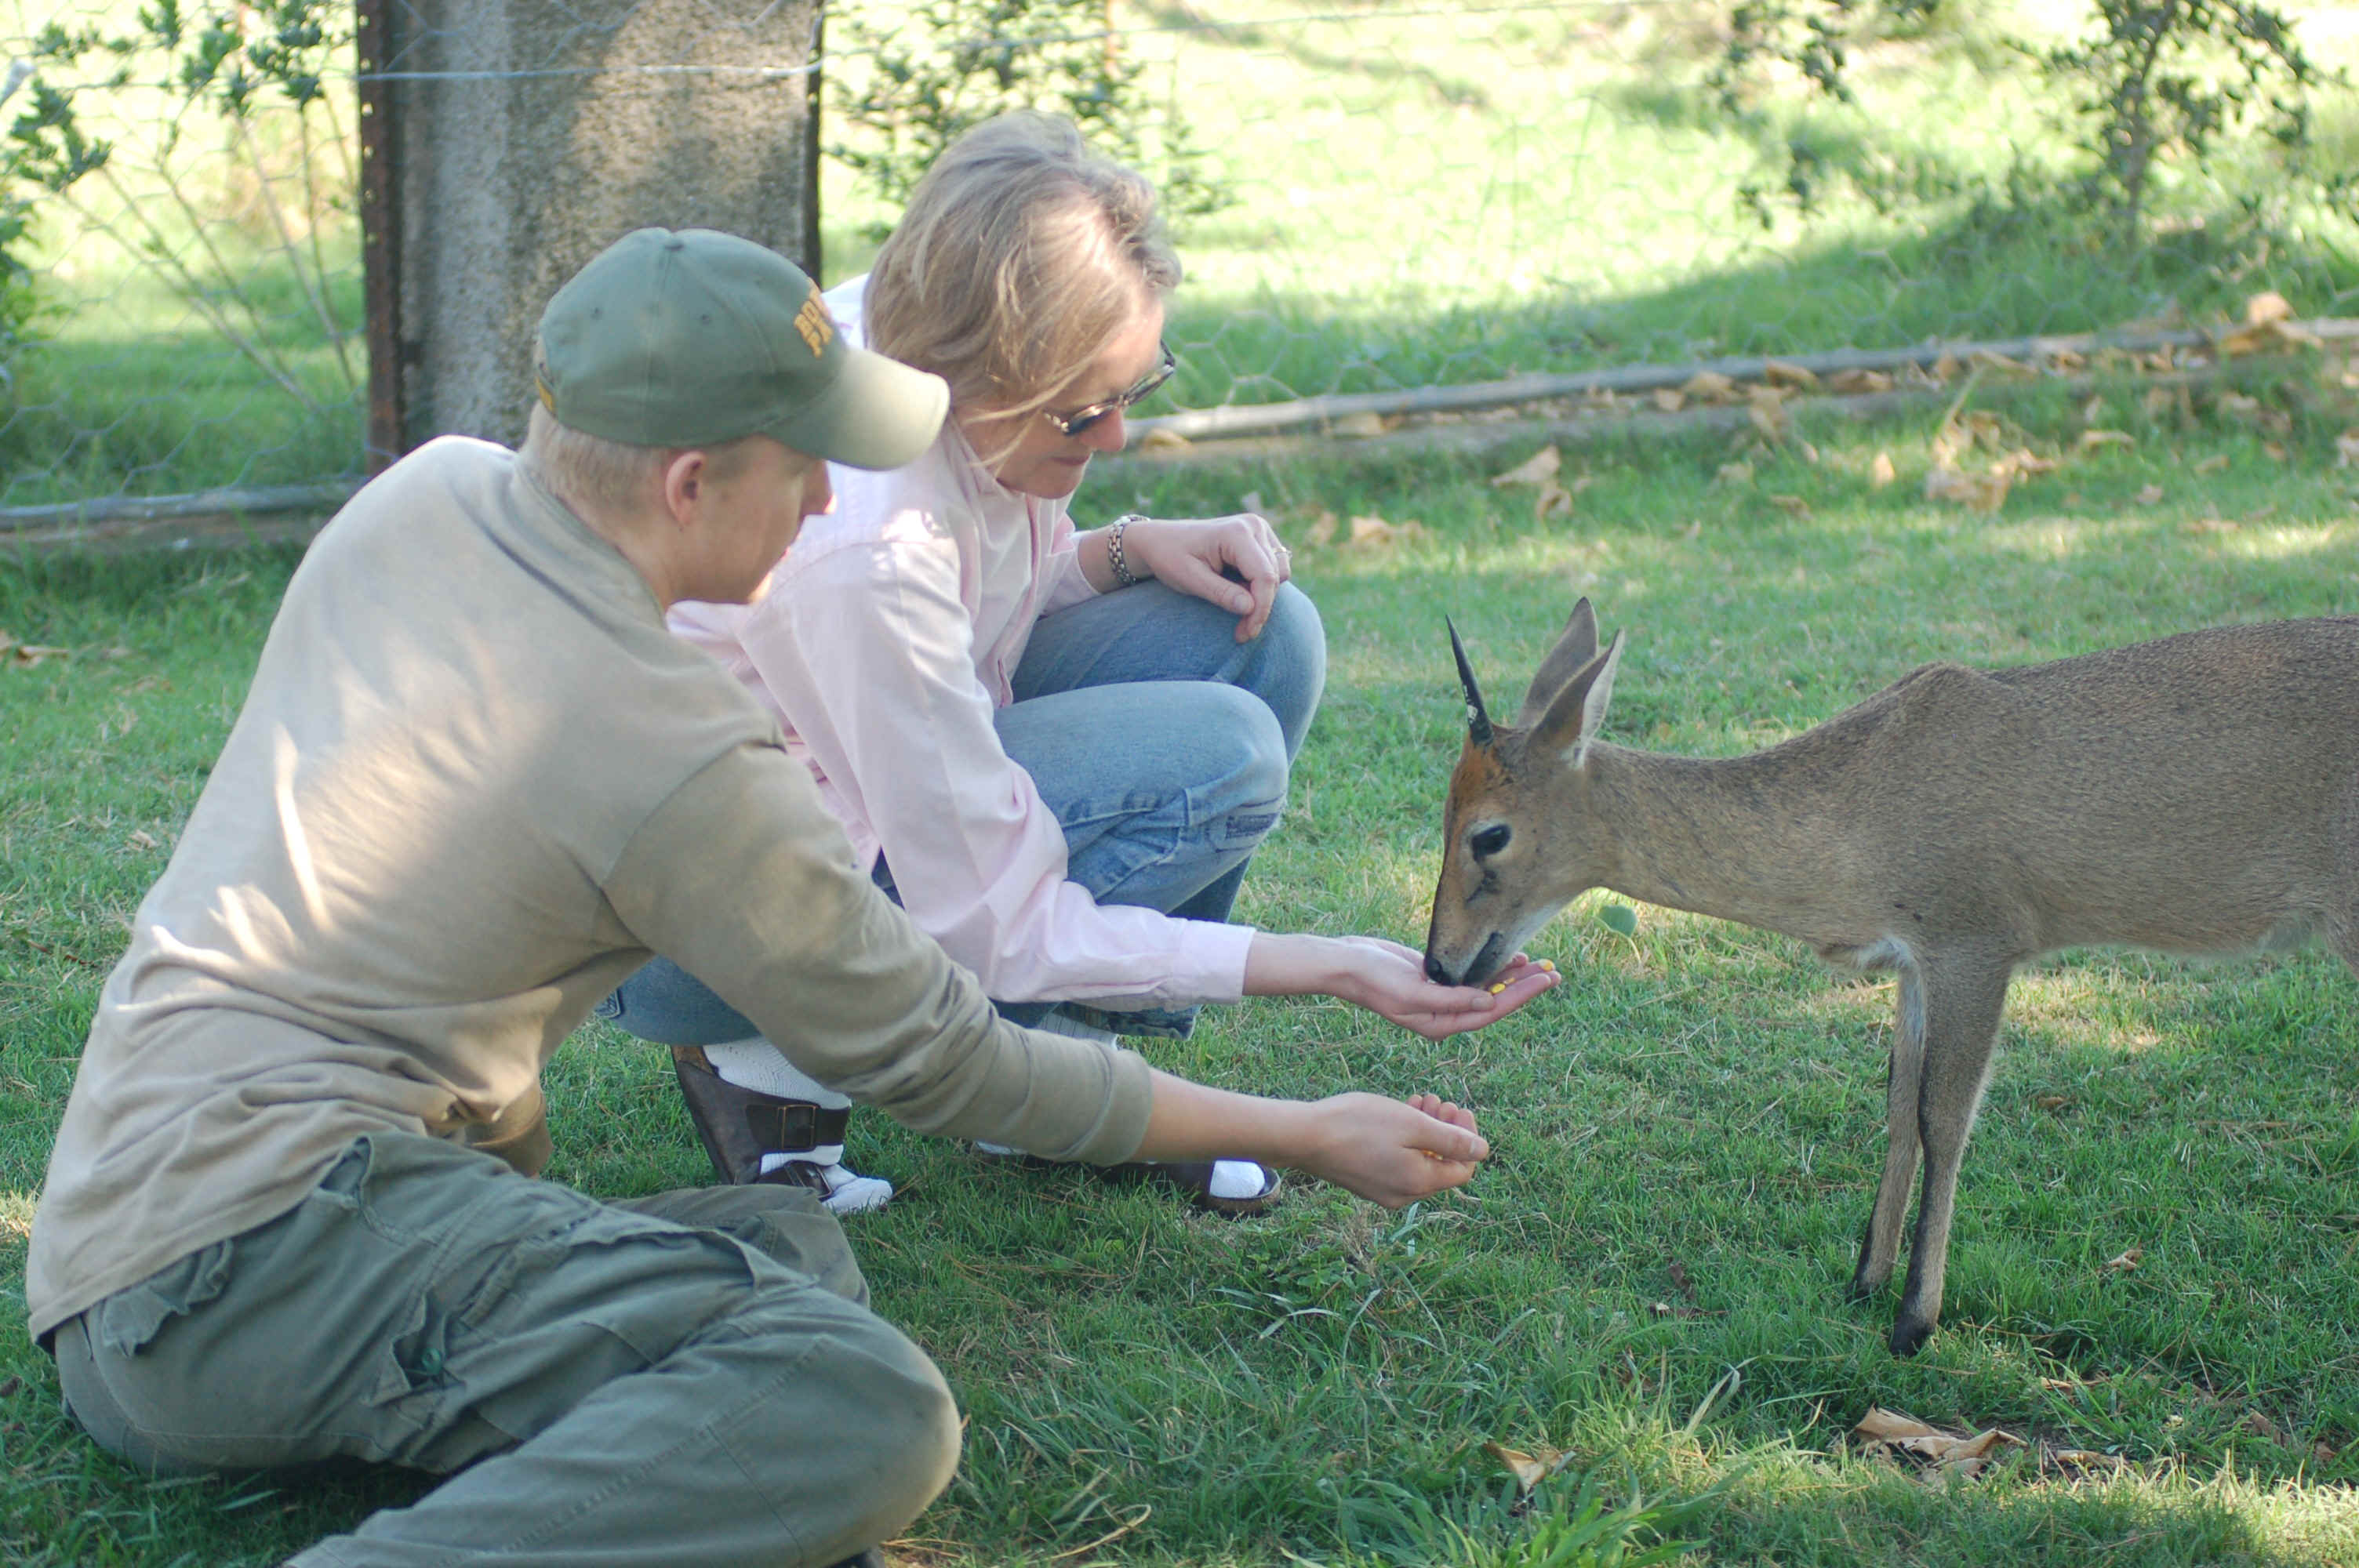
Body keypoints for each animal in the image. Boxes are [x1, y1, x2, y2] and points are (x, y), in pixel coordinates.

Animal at [1415, 593, 2359, 1348]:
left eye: (1489, 832)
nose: (1440, 961)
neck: (1859, 826)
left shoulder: (1977, 936)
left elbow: (1946, 1118)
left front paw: (1915, 1320)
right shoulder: (1913, 960)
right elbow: (1899, 1105)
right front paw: (1863, 1280)